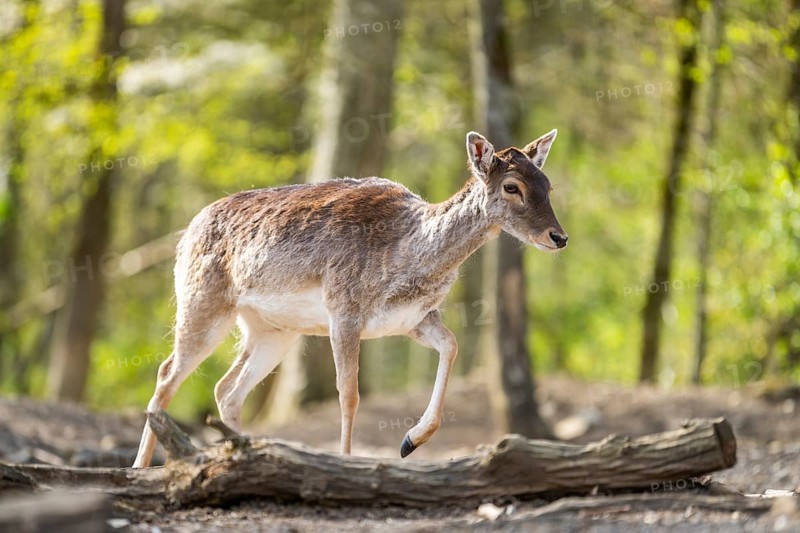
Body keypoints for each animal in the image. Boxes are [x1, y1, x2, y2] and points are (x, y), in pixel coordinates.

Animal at [132, 129, 567, 468]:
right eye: (512, 186)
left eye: (547, 184)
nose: (559, 237)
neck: (409, 263)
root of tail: (186, 232)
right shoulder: (344, 309)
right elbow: (350, 394)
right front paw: (346, 460)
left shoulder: (412, 319)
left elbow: (452, 344)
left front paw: (410, 441)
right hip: (201, 300)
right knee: (167, 374)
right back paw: (140, 465)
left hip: (273, 330)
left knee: (227, 388)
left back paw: (240, 451)